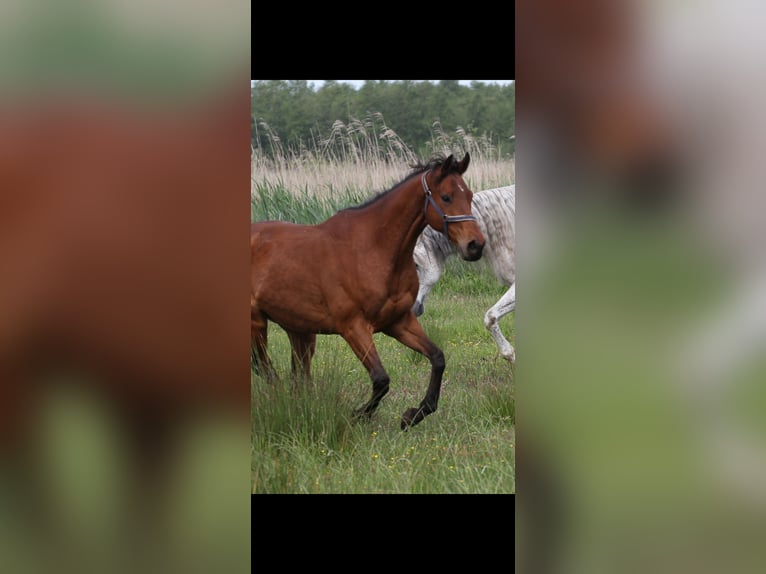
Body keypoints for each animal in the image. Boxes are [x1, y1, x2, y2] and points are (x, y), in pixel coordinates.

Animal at [254, 155, 486, 430]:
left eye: (469, 195)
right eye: (447, 197)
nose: (476, 245)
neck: (374, 249)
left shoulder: (399, 322)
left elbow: (438, 358)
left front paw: (413, 415)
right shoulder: (353, 327)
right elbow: (381, 379)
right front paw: (357, 415)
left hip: (299, 329)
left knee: (298, 374)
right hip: (257, 322)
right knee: (264, 367)